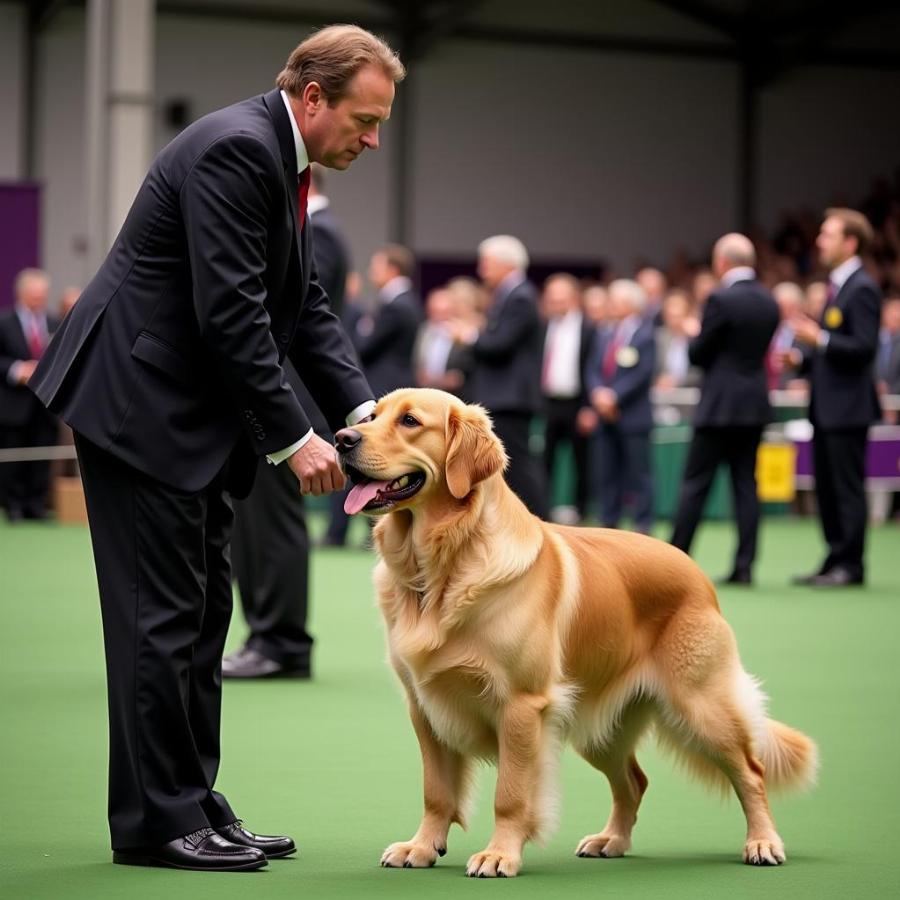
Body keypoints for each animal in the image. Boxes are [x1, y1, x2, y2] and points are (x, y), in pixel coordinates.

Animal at [336, 388, 816, 880]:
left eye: (410, 421)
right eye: (371, 417)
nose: (341, 438)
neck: (442, 567)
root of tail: (695, 571)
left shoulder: (521, 706)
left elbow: (510, 794)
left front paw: (499, 854)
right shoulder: (425, 705)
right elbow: (436, 791)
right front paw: (422, 847)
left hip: (702, 707)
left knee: (751, 772)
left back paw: (763, 842)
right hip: (599, 727)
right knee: (634, 782)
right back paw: (611, 841)